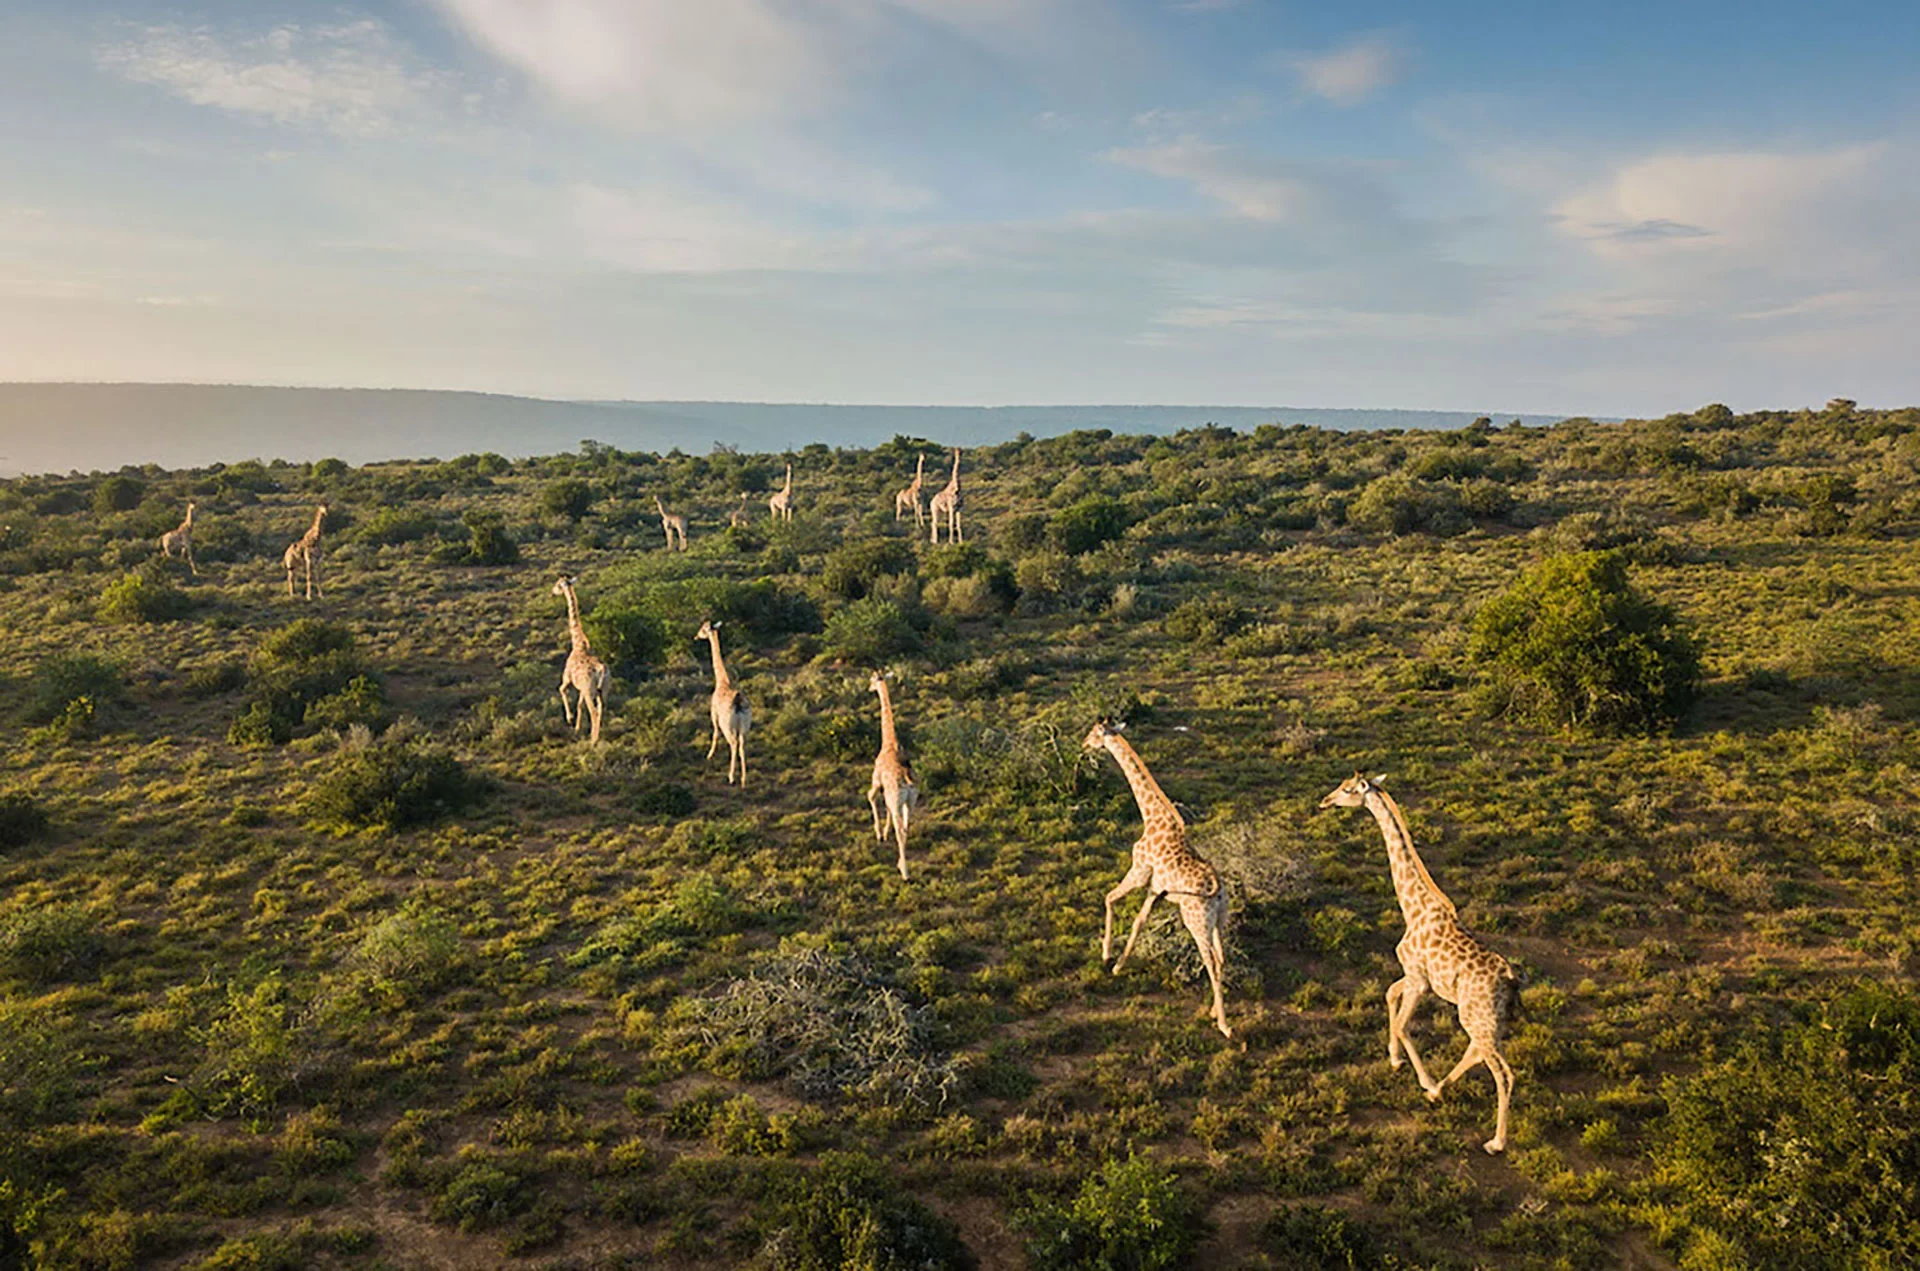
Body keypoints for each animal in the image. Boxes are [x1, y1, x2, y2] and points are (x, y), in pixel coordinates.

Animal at [551, 576, 609, 743]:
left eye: (558, 585)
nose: (552, 592)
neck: (578, 644)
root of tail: (601, 670)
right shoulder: (581, 688)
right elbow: (579, 705)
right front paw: (577, 728)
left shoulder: (567, 678)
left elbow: (561, 689)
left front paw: (570, 719)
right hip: (603, 690)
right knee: (601, 709)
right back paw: (595, 736)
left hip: (590, 690)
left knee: (594, 712)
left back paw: (593, 741)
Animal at [696, 619, 751, 785]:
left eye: (703, 629)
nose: (696, 636)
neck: (722, 683)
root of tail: (738, 702)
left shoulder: (714, 715)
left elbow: (715, 733)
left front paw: (709, 755)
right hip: (745, 726)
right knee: (742, 745)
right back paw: (744, 779)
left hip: (728, 726)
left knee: (733, 743)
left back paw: (731, 777)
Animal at [867, 671, 920, 879]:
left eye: (872, 680)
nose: (869, 688)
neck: (889, 744)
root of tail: (907, 780)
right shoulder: (890, 796)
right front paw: (884, 831)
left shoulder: (876, 781)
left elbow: (871, 797)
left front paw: (879, 834)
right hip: (910, 801)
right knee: (905, 828)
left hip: (898, 800)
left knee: (901, 831)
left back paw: (904, 872)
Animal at [1084, 720, 1231, 1038]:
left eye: (1094, 733)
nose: (1083, 744)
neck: (1151, 818)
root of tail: (1217, 889)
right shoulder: (1155, 888)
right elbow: (1139, 923)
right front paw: (1118, 966)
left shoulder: (1139, 873)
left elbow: (1109, 899)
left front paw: (1106, 956)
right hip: (1218, 919)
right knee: (1222, 956)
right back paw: (1215, 1011)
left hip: (1195, 919)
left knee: (1211, 961)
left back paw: (1225, 1026)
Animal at [1319, 773, 1520, 1154]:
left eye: (1349, 789)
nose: (1325, 801)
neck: (1414, 907)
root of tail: (1511, 980)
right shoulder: (1413, 977)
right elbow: (1388, 995)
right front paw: (1397, 1060)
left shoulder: (1419, 981)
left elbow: (1401, 1023)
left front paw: (1421, 1078)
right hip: (1486, 1021)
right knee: (1477, 1052)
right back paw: (1440, 1091)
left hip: (1477, 1017)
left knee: (1504, 1073)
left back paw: (1496, 1141)